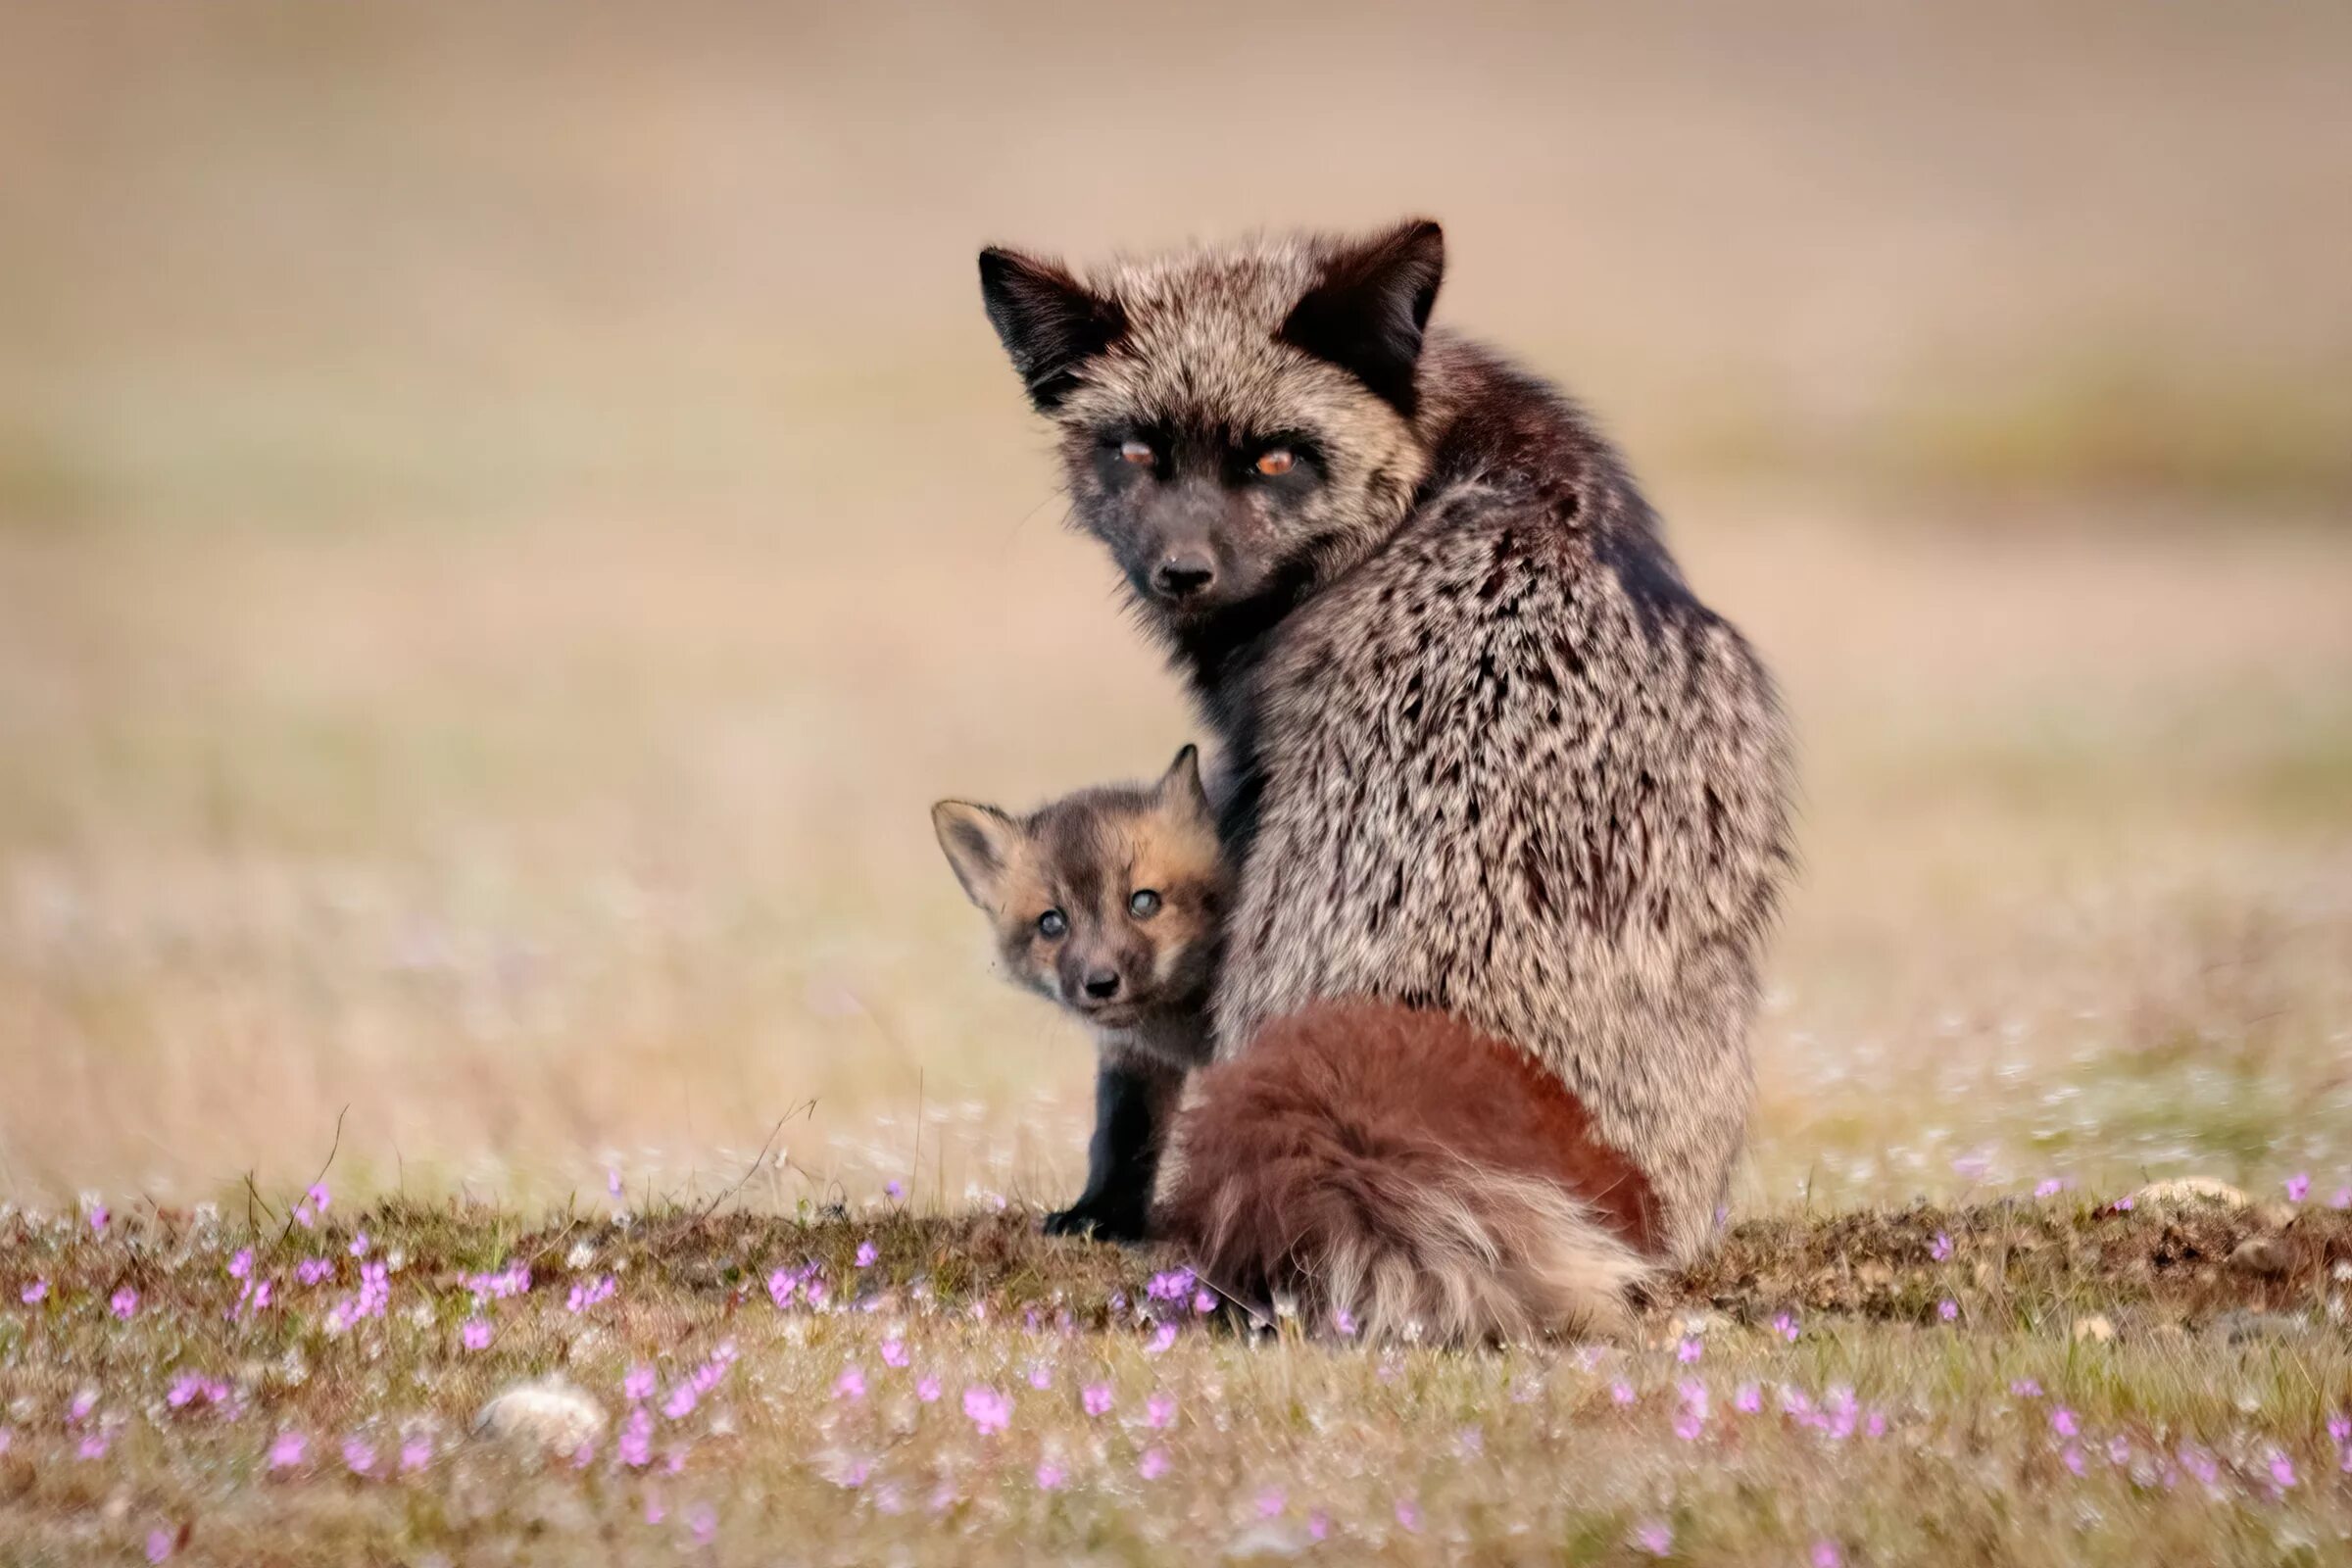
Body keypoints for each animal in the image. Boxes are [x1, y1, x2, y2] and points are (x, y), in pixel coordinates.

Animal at [983, 217, 1788, 1335]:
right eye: (1137, 450)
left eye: (1276, 456)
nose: (1183, 574)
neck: (1440, 475)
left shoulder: (1244, 795)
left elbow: (1131, 1078)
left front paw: (1106, 1207)